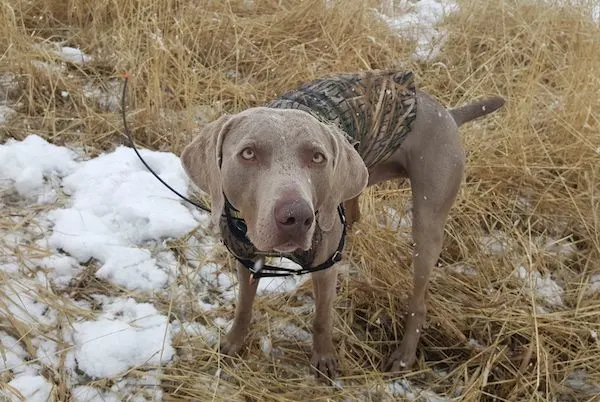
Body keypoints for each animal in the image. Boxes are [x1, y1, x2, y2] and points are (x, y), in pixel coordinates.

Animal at [180, 70, 504, 380]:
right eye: (248, 153)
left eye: (317, 157)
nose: (297, 218)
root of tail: (447, 113)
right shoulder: (247, 259)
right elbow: (244, 305)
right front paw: (232, 344)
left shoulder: (325, 267)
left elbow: (322, 318)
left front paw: (324, 360)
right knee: (356, 215)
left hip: (427, 219)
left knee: (419, 299)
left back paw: (403, 356)